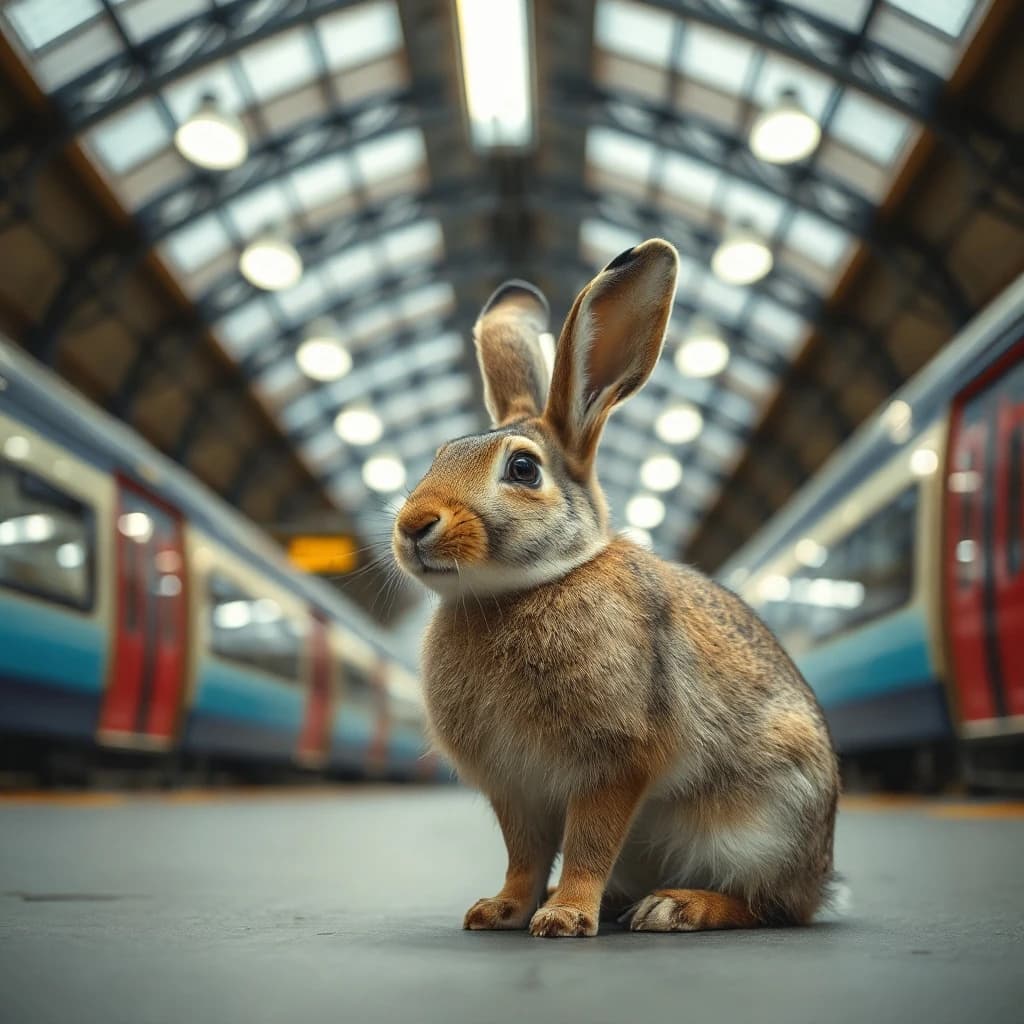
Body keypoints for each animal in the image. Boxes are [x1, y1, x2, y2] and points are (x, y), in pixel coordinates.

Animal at [392, 238, 840, 938]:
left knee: (771, 906)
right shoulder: (515, 789)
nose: (413, 525)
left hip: (760, 827)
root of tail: (820, 876)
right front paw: (502, 909)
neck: (521, 589)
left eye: (523, 469)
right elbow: (524, 855)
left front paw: (566, 917)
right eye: (437, 457)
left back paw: (675, 906)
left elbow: (589, 841)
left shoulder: (614, 761)